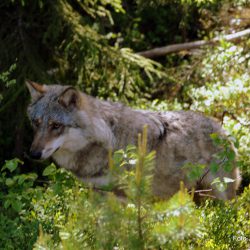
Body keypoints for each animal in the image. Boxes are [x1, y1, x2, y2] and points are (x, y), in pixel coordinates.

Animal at [25, 81, 240, 200]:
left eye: (55, 125)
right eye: (36, 123)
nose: (33, 154)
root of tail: (221, 128)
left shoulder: (122, 196)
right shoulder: (97, 192)